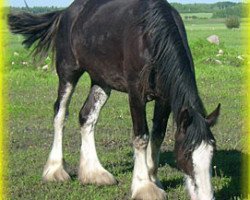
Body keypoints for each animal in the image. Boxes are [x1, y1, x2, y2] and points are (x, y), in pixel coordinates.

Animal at [7, 0, 220, 199]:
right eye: (187, 153)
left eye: (212, 152)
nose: (206, 196)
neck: (151, 37)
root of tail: (66, 12)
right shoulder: (136, 94)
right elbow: (141, 137)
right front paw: (144, 187)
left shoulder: (164, 99)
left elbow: (158, 135)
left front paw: (154, 179)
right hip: (68, 73)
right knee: (60, 114)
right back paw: (55, 170)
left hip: (101, 82)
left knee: (86, 116)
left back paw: (94, 173)